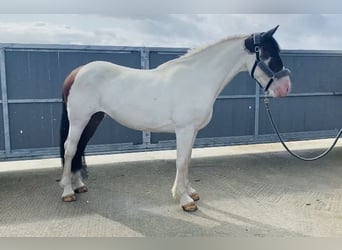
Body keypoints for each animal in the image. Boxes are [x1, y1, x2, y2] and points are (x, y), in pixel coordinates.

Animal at [59, 26, 292, 212]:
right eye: (268, 53)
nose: (286, 88)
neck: (198, 78)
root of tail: (77, 72)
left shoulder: (193, 131)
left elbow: (187, 159)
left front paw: (190, 192)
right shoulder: (184, 129)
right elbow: (180, 161)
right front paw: (184, 199)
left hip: (93, 119)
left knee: (80, 148)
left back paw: (78, 185)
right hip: (79, 120)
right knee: (70, 149)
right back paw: (67, 191)